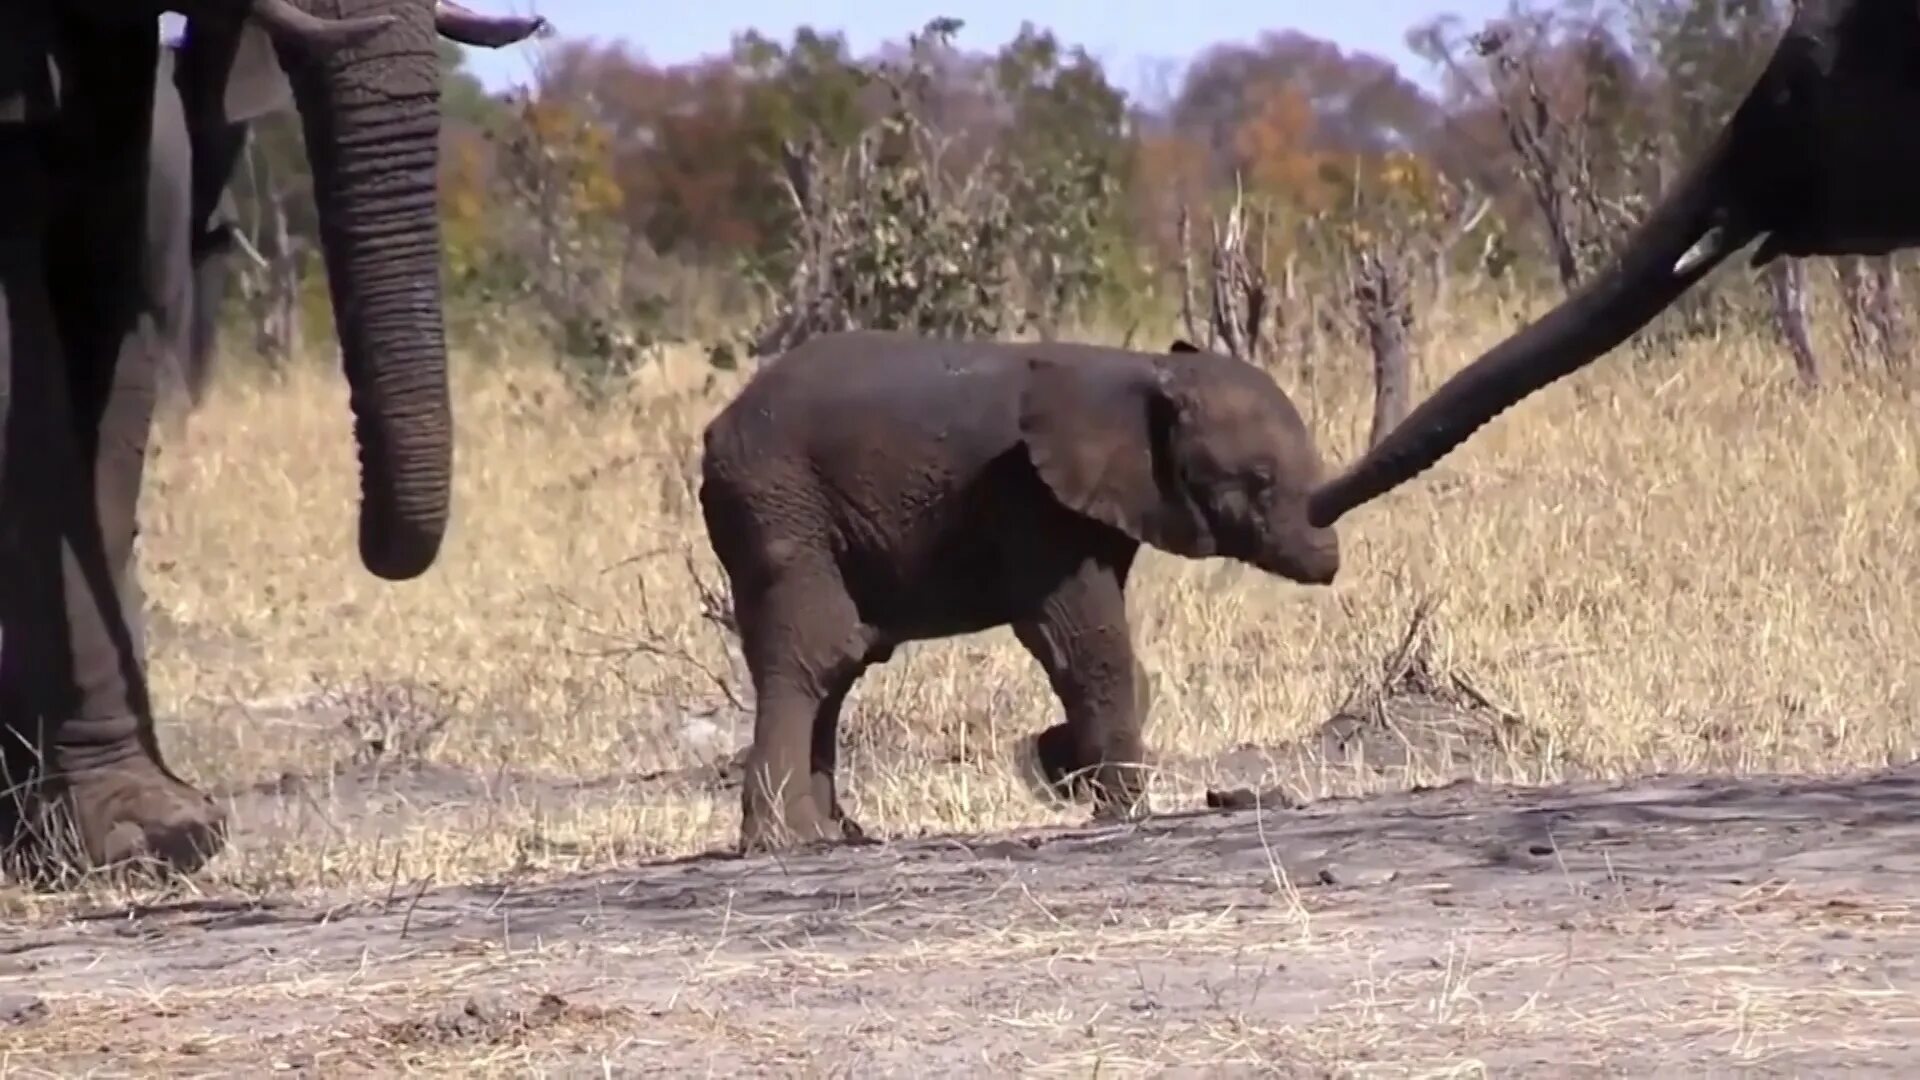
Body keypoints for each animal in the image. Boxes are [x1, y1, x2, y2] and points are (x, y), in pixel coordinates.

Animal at [698, 328, 1344, 849]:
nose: (1329, 563)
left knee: (837, 662)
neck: (1143, 370)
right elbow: (1083, 639)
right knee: (815, 650)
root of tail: (717, 428)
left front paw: (1057, 764)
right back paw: (786, 841)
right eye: (1259, 479)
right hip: (779, 502)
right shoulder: (1031, 495)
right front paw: (1121, 810)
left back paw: (833, 835)